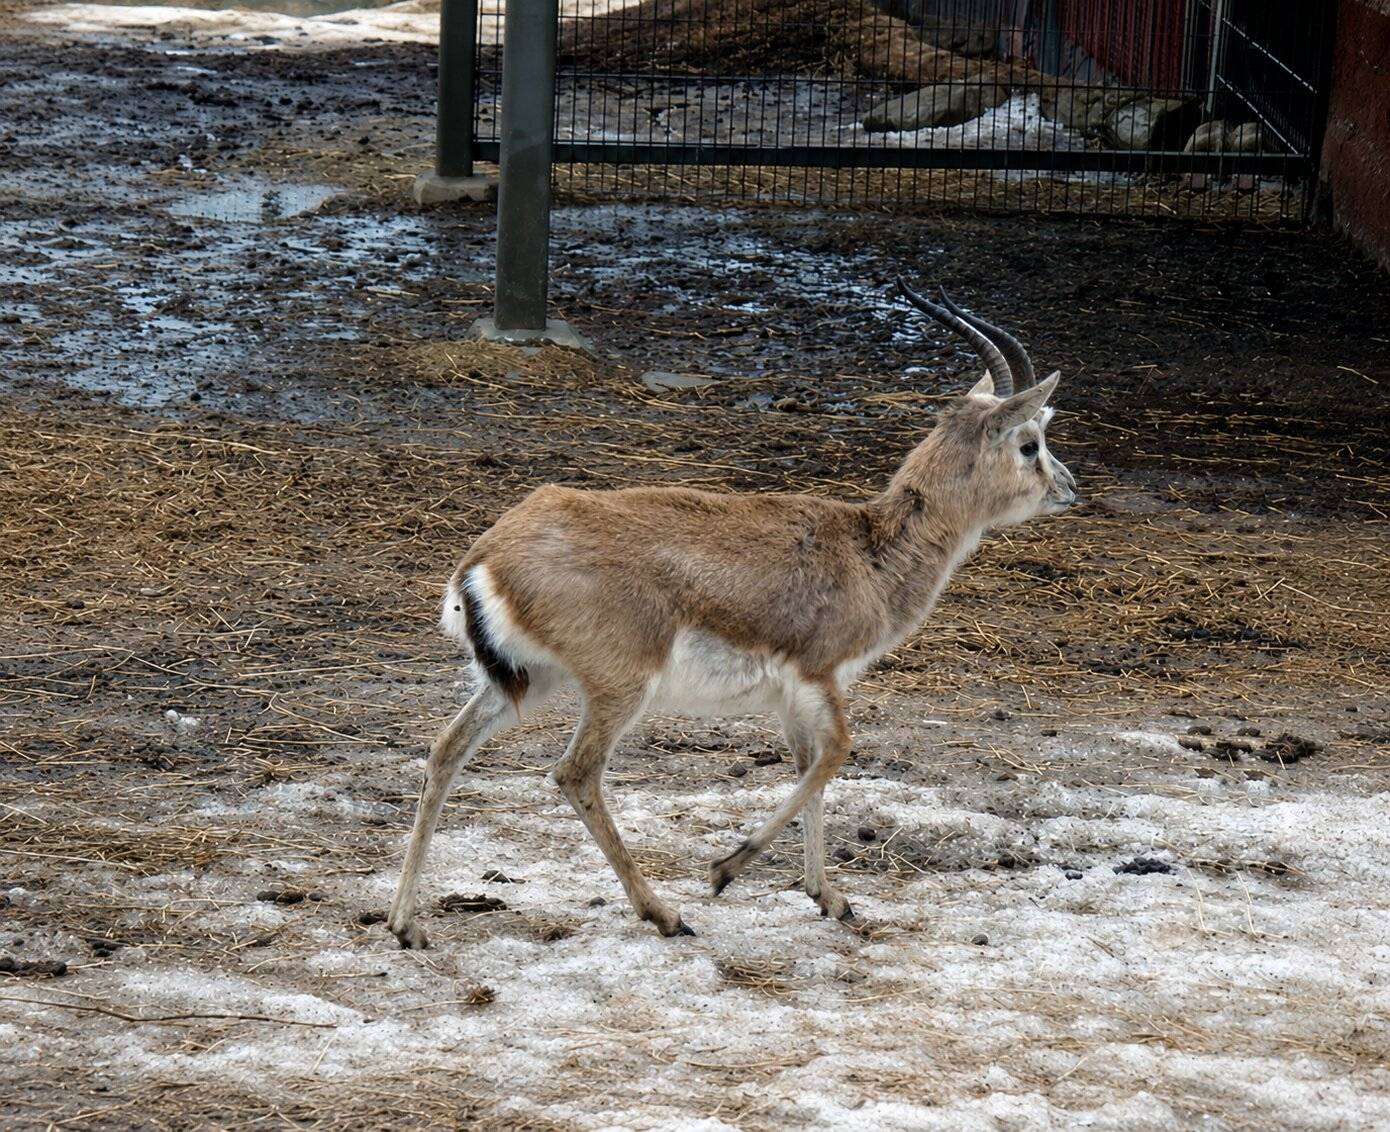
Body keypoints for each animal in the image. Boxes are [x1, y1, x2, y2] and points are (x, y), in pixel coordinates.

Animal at [387, 281, 1077, 948]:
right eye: (1030, 443)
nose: (1068, 487)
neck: (869, 552)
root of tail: (487, 556)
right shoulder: (819, 676)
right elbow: (838, 754)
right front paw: (725, 871)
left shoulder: (792, 698)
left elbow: (810, 767)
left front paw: (828, 898)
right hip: (617, 689)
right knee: (575, 773)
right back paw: (665, 914)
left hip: (527, 679)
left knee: (445, 750)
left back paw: (407, 925)